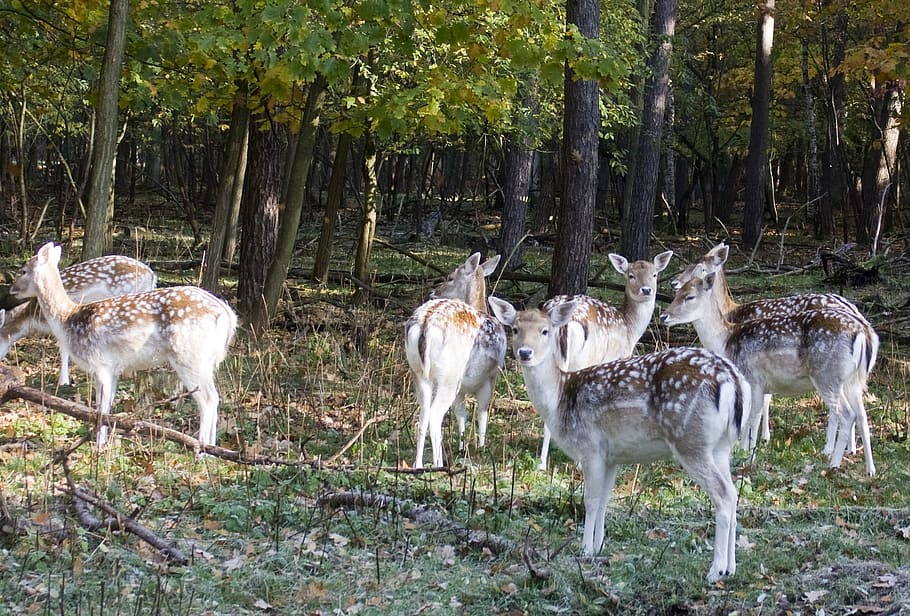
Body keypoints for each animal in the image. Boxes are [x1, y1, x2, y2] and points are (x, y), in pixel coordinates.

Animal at [1, 254, 157, 387]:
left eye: (24, 271)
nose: (12, 289)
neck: (34, 318)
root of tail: (152, 275)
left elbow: (63, 350)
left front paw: (63, 381)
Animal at [405, 253, 506, 468]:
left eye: (450, 277)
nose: (433, 292)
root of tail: (425, 324)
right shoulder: (491, 376)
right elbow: (482, 413)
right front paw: (481, 447)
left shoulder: (462, 387)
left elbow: (461, 414)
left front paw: (462, 447)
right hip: (448, 375)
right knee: (435, 416)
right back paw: (439, 463)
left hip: (419, 373)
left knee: (423, 416)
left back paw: (418, 464)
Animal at [489, 295, 749, 583]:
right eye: (515, 329)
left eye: (545, 331)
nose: (525, 353)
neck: (560, 399)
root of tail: (733, 382)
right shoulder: (612, 456)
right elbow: (604, 500)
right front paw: (599, 546)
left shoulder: (590, 446)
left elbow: (590, 500)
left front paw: (585, 549)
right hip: (721, 447)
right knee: (734, 492)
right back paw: (732, 567)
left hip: (691, 441)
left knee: (723, 495)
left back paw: (715, 570)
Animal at [535, 250, 674, 470]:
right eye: (631, 275)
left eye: (654, 274)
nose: (646, 290)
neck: (629, 329)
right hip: (583, 359)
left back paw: (542, 464)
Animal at [661, 273, 877, 476]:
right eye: (676, 294)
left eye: (689, 296)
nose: (664, 316)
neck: (725, 342)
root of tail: (865, 334)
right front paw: (744, 451)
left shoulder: (753, 378)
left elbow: (752, 416)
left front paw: (749, 455)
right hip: (853, 381)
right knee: (862, 415)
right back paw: (870, 469)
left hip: (828, 376)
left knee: (847, 414)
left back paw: (833, 465)